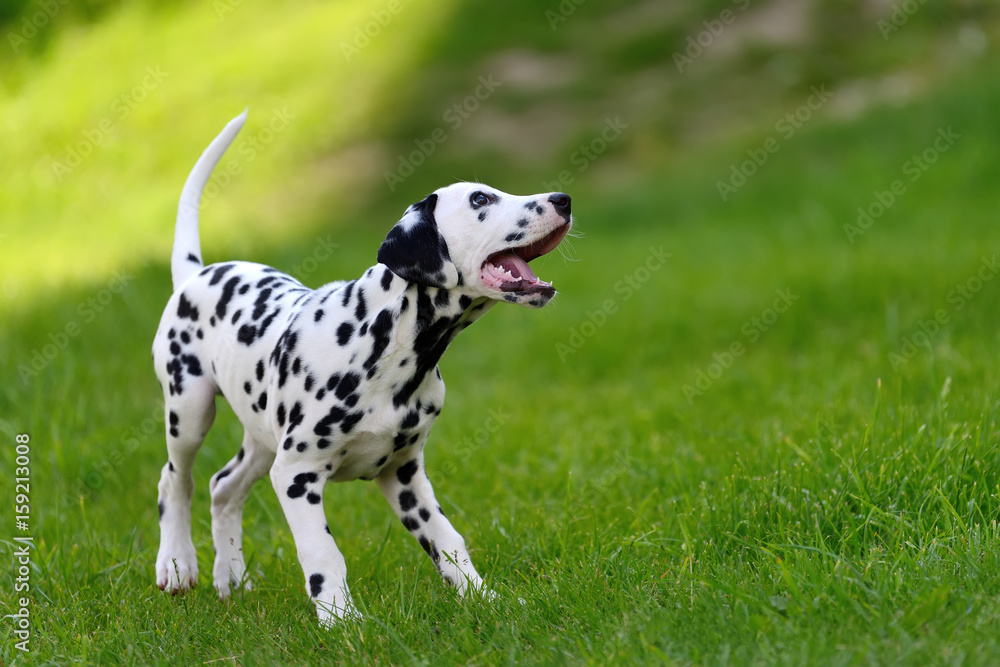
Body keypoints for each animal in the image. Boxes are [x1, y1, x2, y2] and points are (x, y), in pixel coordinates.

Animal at [148, 111, 572, 628]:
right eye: (480, 199)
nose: (563, 199)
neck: (390, 348)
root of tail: (195, 274)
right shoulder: (297, 475)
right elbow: (323, 552)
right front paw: (340, 619)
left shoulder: (405, 475)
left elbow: (448, 541)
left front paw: (482, 598)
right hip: (189, 412)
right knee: (176, 479)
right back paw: (176, 564)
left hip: (263, 441)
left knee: (222, 487)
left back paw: (232, 577)